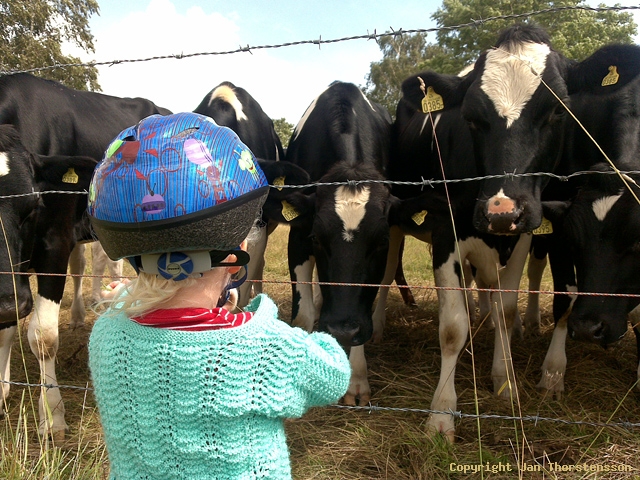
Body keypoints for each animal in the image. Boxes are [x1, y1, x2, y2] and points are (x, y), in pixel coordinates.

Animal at [0, 72, 171, 442]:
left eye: (32, 206)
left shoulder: (55, 242)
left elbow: (43, 336)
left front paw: (52, 417)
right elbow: (5, 327)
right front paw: (0, 391)